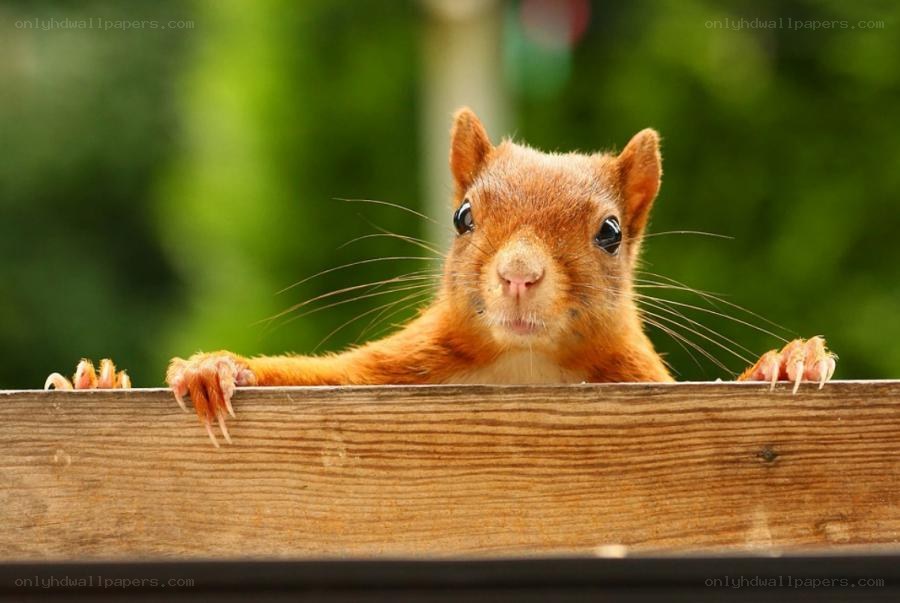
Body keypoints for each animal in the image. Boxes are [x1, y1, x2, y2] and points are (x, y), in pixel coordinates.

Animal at [45, 108, 837, 446]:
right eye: (462, 215)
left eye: (611, 232)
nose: (518, 273)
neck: (523, 365)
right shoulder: (398, 369)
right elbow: (311, 374)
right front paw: (213, 368)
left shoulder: (637, 377)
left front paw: (786, 361)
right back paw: (97, 382)